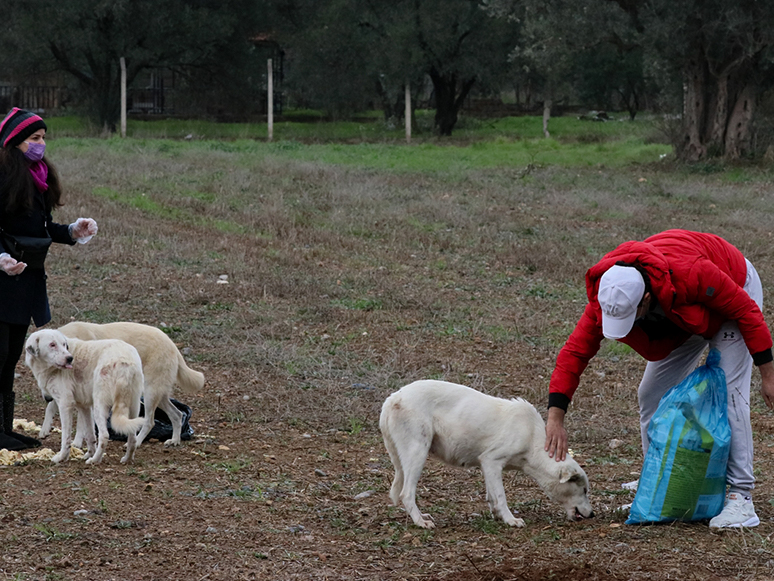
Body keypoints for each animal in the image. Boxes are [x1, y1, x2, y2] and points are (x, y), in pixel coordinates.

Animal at [25, 328, 146, 464]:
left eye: (63, 344)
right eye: (52, 344)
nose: (70, 358)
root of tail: (125, 361)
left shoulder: (65, 404)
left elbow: (66, 437)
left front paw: (62, 457)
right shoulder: (84, 406)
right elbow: (90, 435)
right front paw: (88, 453)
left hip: (100, 406)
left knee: (104, 435)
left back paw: (95, 460)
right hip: (133, 407)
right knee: (132, 437)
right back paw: (127, 459)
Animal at [41, 320, 206, 446]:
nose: (46, 397)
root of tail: (172, 344)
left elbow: (81, 424)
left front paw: (76, 443)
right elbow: (51, 408)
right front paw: (44, 429)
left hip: (149, 393)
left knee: (149, 422)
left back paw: (136, 442)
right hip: (158, 395)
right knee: (177, 415)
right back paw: (175, 441)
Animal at [380, 378, 596, 528]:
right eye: (584, 490)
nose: (593, 514)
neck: (532, 439)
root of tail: (392, 398)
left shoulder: (486, 466)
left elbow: (492, 496)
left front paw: (498, 516)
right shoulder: (492, 461)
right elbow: (501, 496)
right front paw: (511, 520)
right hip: (417, 454)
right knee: (406, 494)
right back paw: (420, 522)